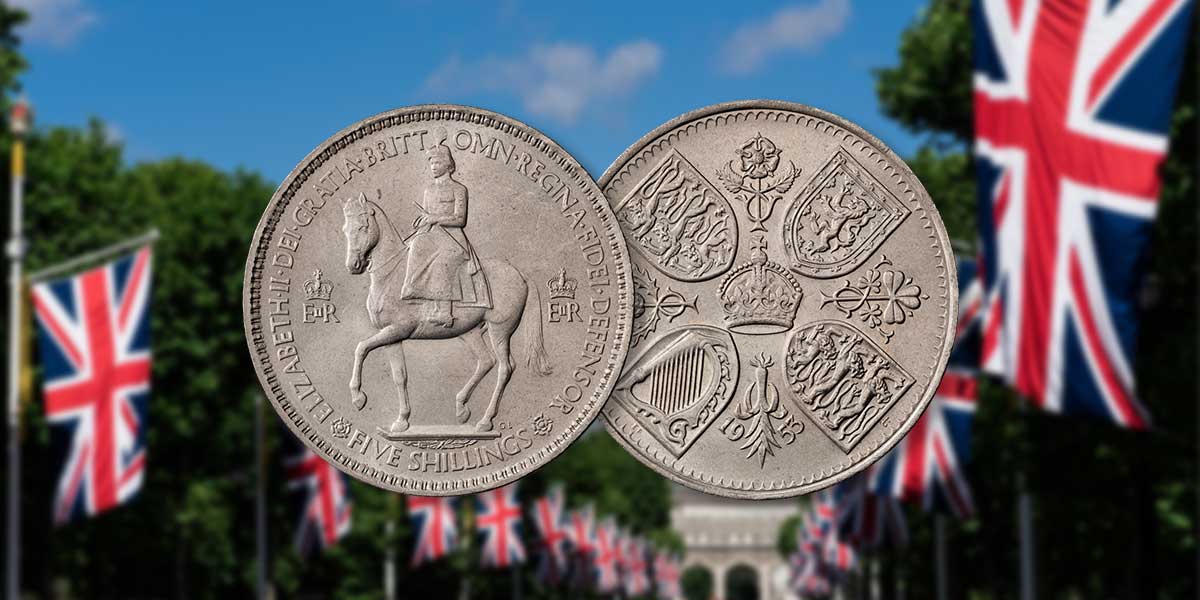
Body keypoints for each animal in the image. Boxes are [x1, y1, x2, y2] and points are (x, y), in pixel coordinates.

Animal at [338, 194, 552, 434]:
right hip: (469, 332)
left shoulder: (398, 330)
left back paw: (485, 421)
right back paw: (461, 408)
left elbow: (361, 348)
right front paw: (401, 421)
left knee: (505, 367)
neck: (391, 276)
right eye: (345, 229)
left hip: (500, 330)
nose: (353, 266)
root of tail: (520, 274)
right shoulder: (392, 336)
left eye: (363, 227)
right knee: (486, 361)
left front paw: (358, 398)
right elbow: (399, 376)